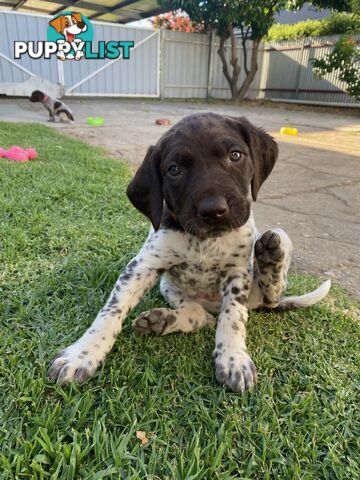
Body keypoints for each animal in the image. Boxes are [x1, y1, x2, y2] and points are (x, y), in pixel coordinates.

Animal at [49, 113, 330, 394]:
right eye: (174, 169)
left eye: (235, 155)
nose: (214, 210)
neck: (204, 241)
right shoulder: (143, 266)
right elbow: (110, 312)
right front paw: (82, 354)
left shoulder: (237, 272)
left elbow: (233, 317)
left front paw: (233, 358)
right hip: (169, 287)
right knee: (200, 315)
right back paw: (163, 320)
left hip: (263, 274)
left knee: (271, 289)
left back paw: (272, 254)